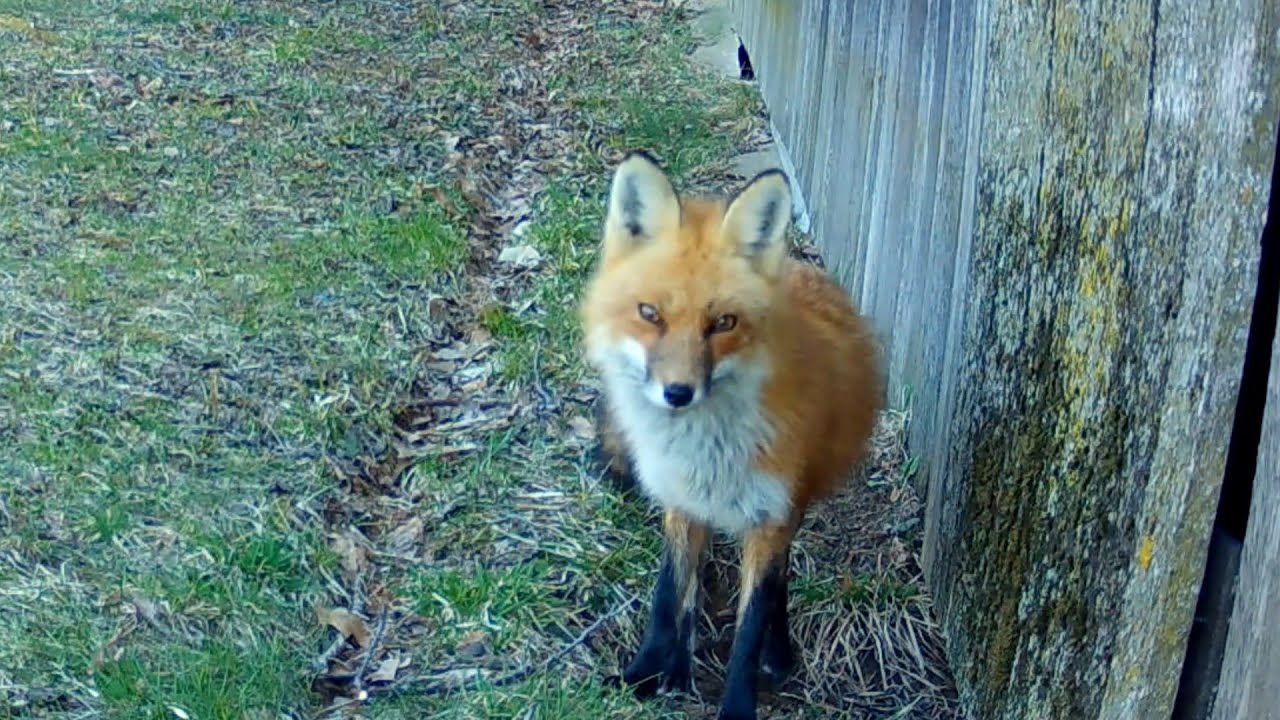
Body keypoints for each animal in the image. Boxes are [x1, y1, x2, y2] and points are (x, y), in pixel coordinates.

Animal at [580, 151, 883, 720]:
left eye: (723, 323)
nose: (678, 393)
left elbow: (750, 626)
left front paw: (738, 705)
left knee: (779, 581)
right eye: (650, 314)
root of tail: (801, 265)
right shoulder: (679, 499)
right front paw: (645, 673)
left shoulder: (770, 516)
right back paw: (680, 662)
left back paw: (778, 651)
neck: (706, 452)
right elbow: (668, 594)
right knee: (694, 587)